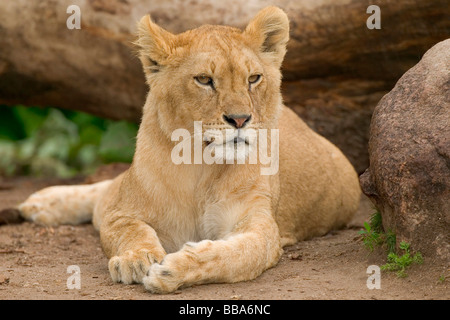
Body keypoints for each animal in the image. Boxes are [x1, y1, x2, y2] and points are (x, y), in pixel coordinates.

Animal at [18, 6, 362, 294]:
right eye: (204, 80)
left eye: (253, 78)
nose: (241, 119)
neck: (201, 165)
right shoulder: (123, 210)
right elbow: (130, 230)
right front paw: (136, 259)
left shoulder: (261, 227)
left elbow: (236, 255)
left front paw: (174, 269)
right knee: (105, 191)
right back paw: (41, 203)